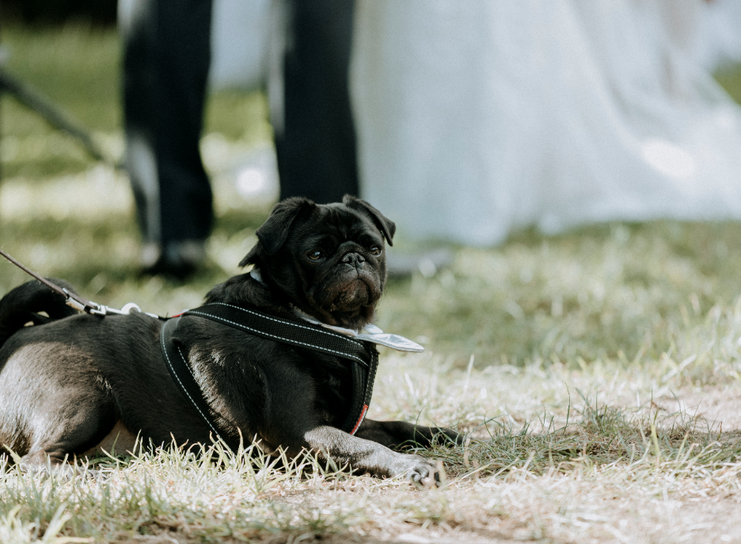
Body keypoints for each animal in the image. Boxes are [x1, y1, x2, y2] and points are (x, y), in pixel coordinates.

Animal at [0, 197, 456, 484]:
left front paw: (440, 434)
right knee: (34, 459)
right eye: (315, 254)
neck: (309, 319)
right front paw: (413, 466)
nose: (353, 257)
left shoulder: (341, 419)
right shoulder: (305, 432)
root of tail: (10, 343)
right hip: (89, 397)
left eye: (374, 248)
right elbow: (363, 448)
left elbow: (390, 426)